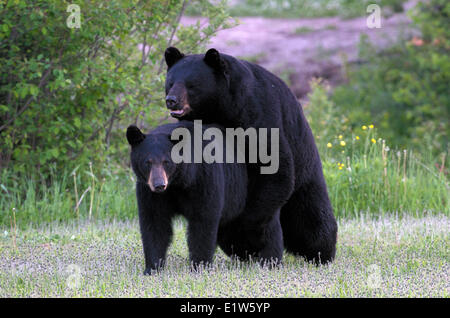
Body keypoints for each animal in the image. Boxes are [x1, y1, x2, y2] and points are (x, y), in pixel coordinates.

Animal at [125, 121, 284, 274]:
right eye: (148, 162)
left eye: (166, 162)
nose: (159, 185)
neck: (177, 183)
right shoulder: (150, 192)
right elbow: (155, 222)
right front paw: (152, 268)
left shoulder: (203, 179)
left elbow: (203, 221)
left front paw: (199, 266)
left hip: (256, 194)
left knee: (267, 227)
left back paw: (271, 260)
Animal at [163, 46, 336, 264]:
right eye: (170, 83)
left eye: (191, 85)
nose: (171, 100)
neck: (220, 109)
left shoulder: (258, 116)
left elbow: (275, 169)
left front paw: (245, 230)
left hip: (305, 175)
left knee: (312, 221)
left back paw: (319, 253)